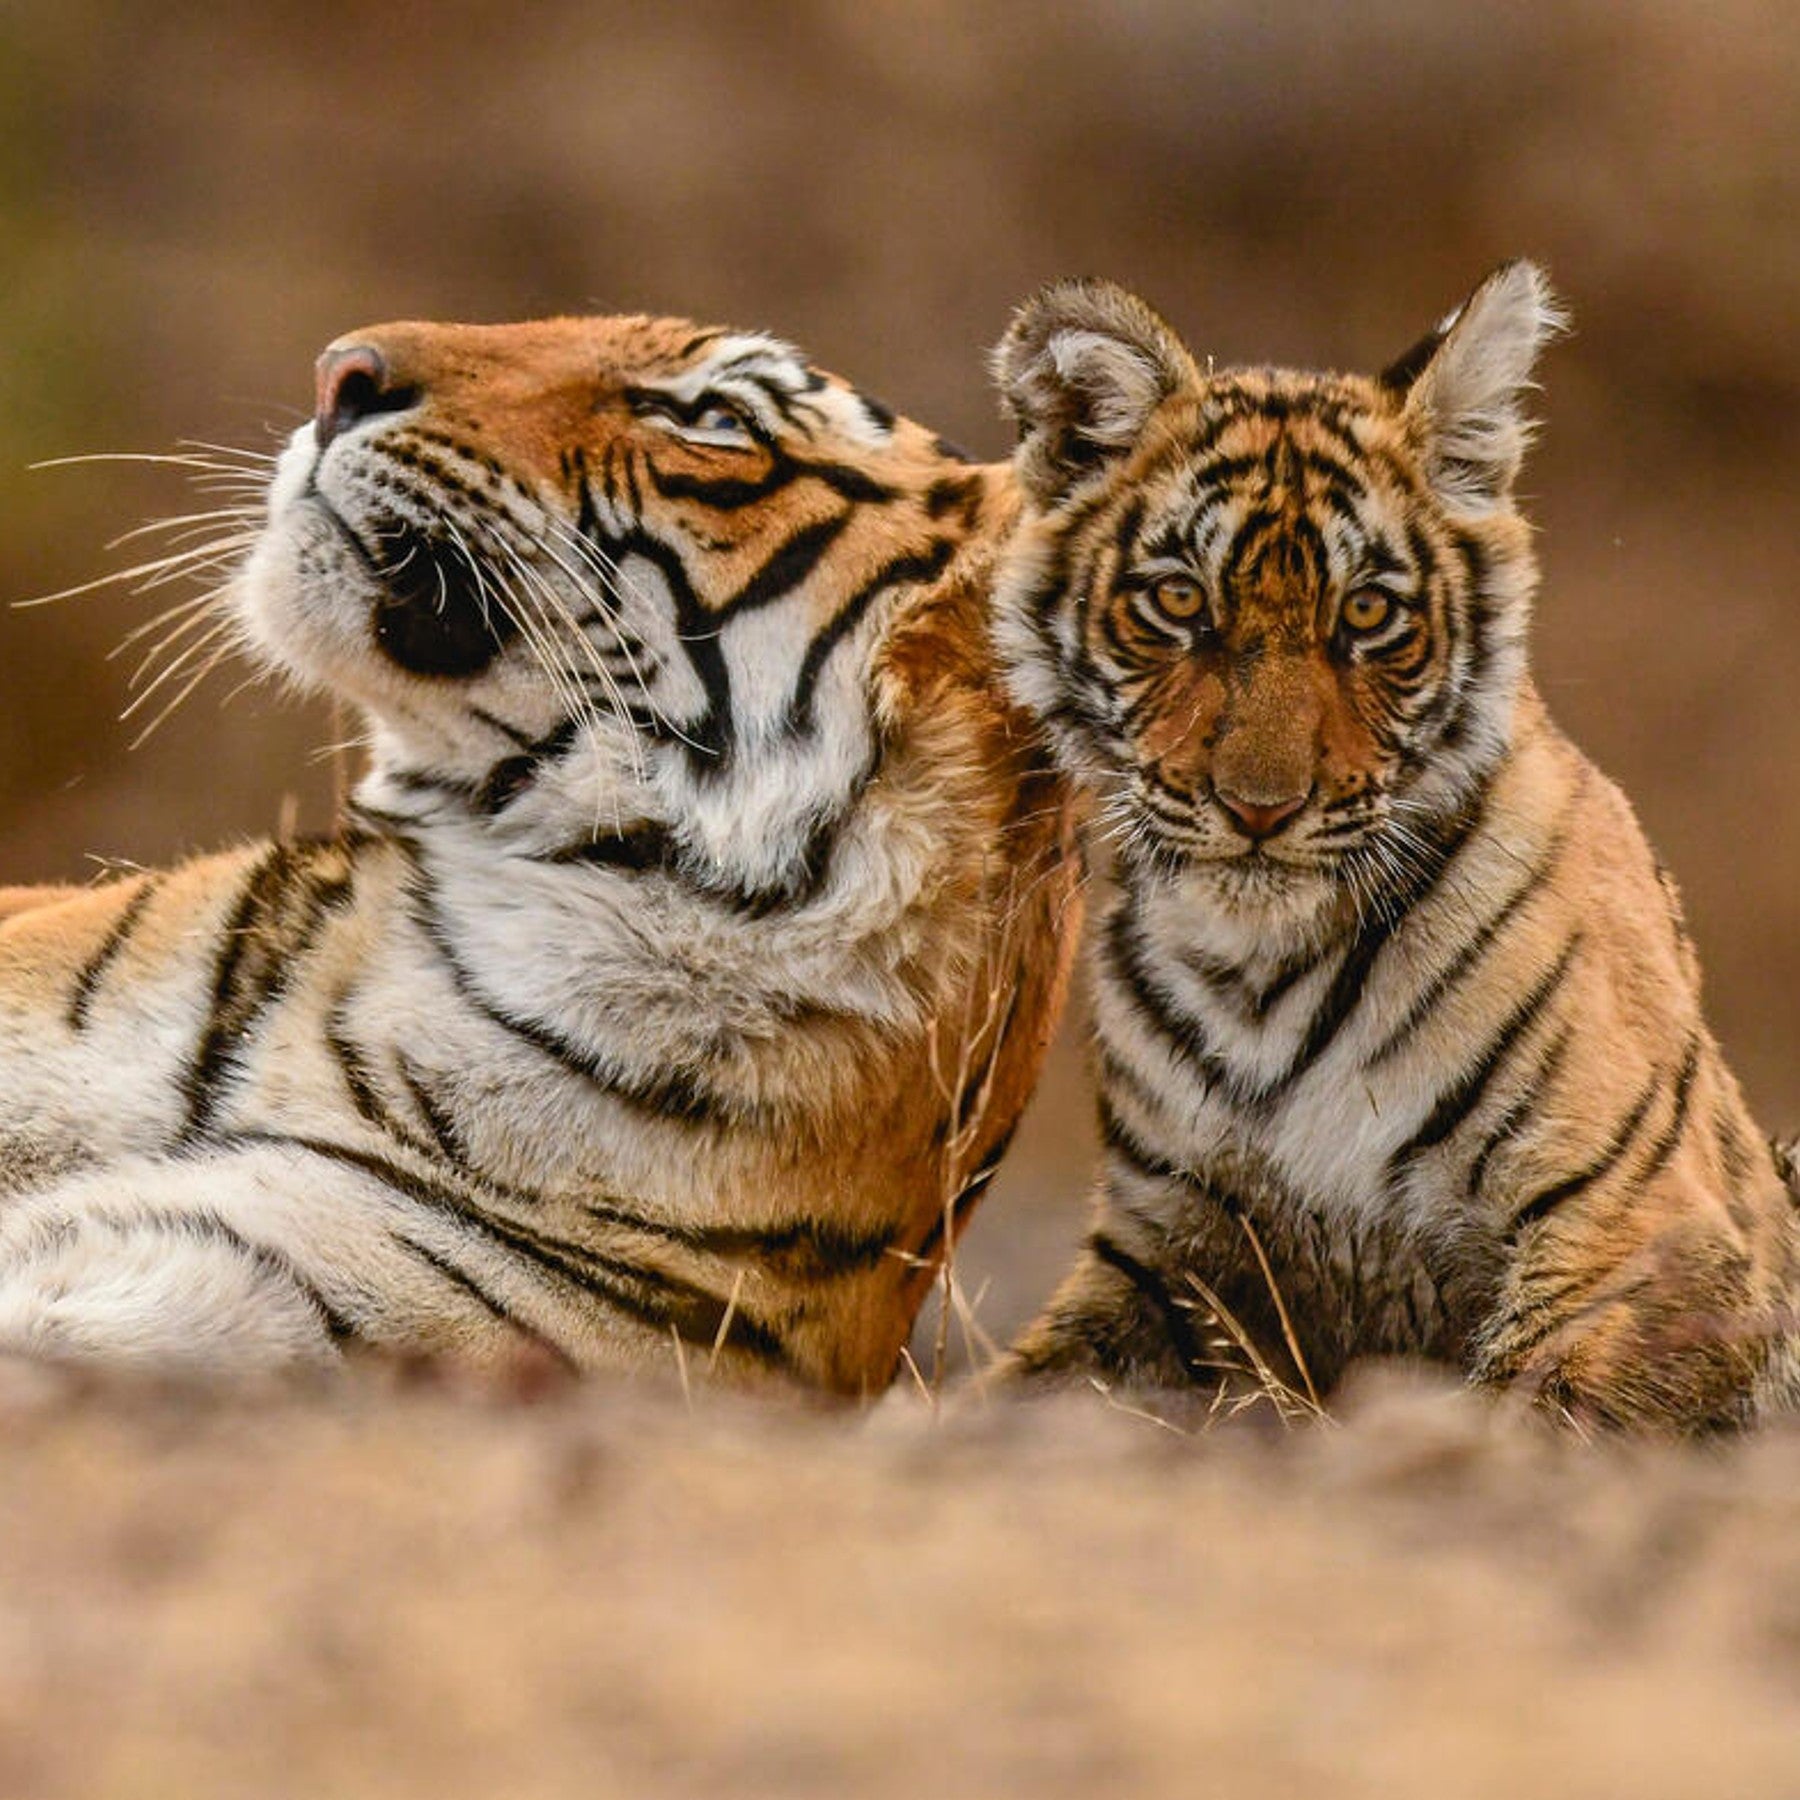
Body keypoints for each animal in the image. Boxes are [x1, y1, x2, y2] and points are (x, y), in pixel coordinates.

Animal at [988, 263, 1799, 1432]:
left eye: (1369, 614)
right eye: (1180, 600)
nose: (1261, 807)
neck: (1257, 972)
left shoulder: (1642, 1225)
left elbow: (1541, 1407)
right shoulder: (1164, 1248)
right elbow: (1011, 1391)